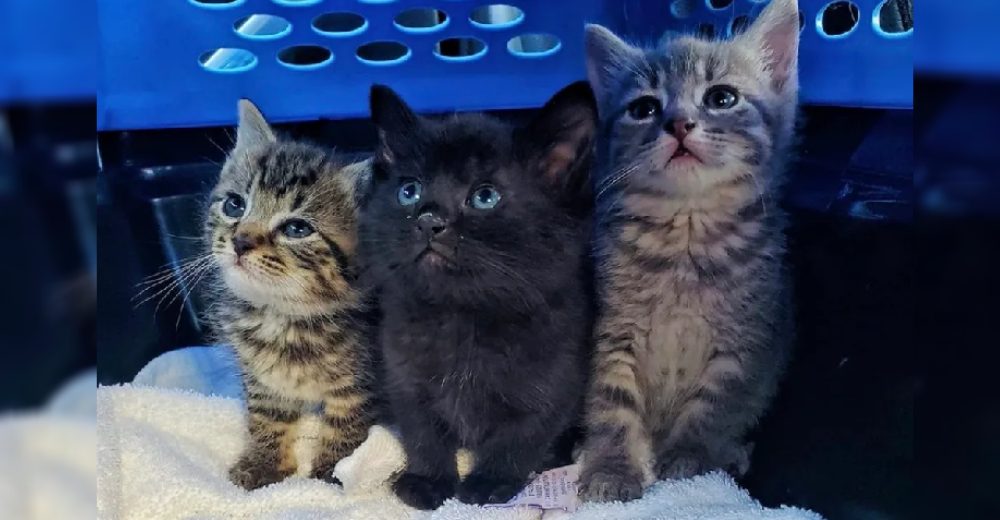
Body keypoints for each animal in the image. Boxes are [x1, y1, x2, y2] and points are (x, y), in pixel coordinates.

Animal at [205, 99, 376, 490]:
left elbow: (347, 427)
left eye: (297, 229)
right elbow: (267, 418)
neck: (284, 318)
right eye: (235, 205)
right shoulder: (263, 380)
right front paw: (264, 464)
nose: (240, 242)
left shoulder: (361, 385)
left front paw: (329, 475)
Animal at [358, 83, 592, 510]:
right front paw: (429, 481)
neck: (462, 316)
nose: (429, 220)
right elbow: (423, 433)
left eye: (485, 197)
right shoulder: (404, 379)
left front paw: (489, 482)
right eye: (408, 191)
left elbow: (522, 437)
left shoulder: (556, 384)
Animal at [580, 0, 796, 504]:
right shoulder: (610, 333)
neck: (686, 236)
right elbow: (611, 404)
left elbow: (712, 407)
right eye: (644, 108)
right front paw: (611, 468)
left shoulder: (744, 344)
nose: (677, 123)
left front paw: (689, 459)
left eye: (722, 98)